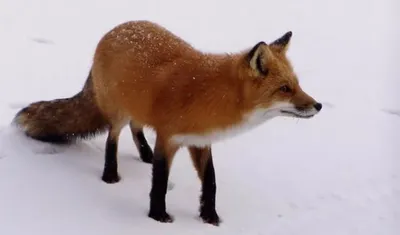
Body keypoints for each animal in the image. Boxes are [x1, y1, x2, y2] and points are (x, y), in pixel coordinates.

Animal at [13, 20, 322, 226]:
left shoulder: (200, 141)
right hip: (118, 113)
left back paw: (144, 154)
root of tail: (115, 29)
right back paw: (110, 174)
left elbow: (211, 183)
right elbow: (160, 181)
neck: (211, 96)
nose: (318, 106)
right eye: (284, 89)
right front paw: (158, 216)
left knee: (136, 127)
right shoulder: (169, 138)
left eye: (297, 85)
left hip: (136, 107)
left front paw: (210, 217)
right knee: (114, 138)